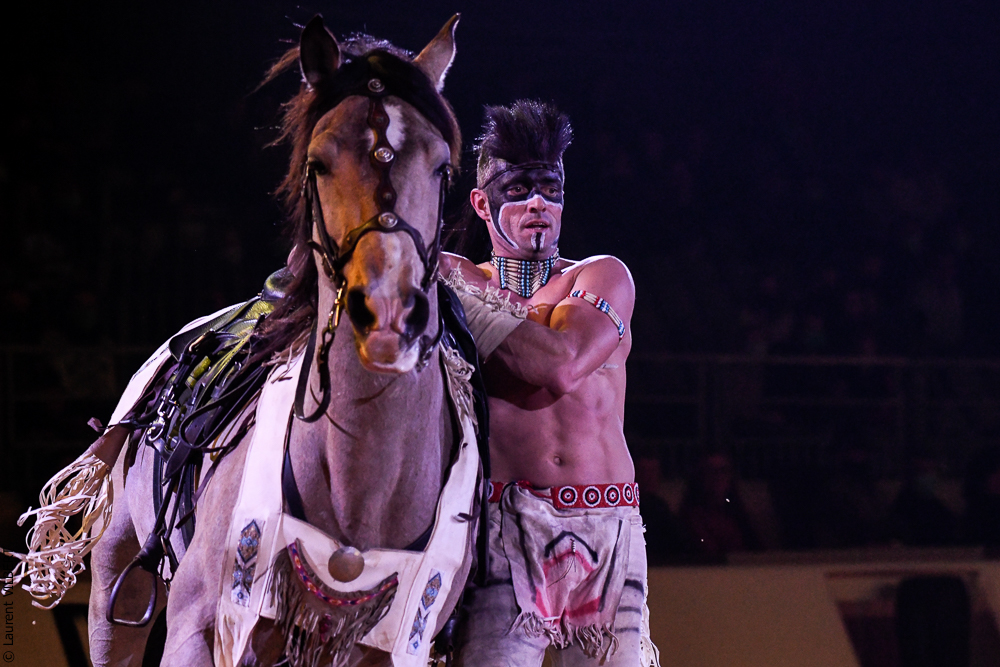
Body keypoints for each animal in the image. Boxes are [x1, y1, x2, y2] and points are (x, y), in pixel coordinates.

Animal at [4, 14, 484, 667]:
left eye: (440, 166)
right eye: (319, 162)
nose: (387, 313)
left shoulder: (395, 643)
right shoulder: (197, 626)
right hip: (114, 592)